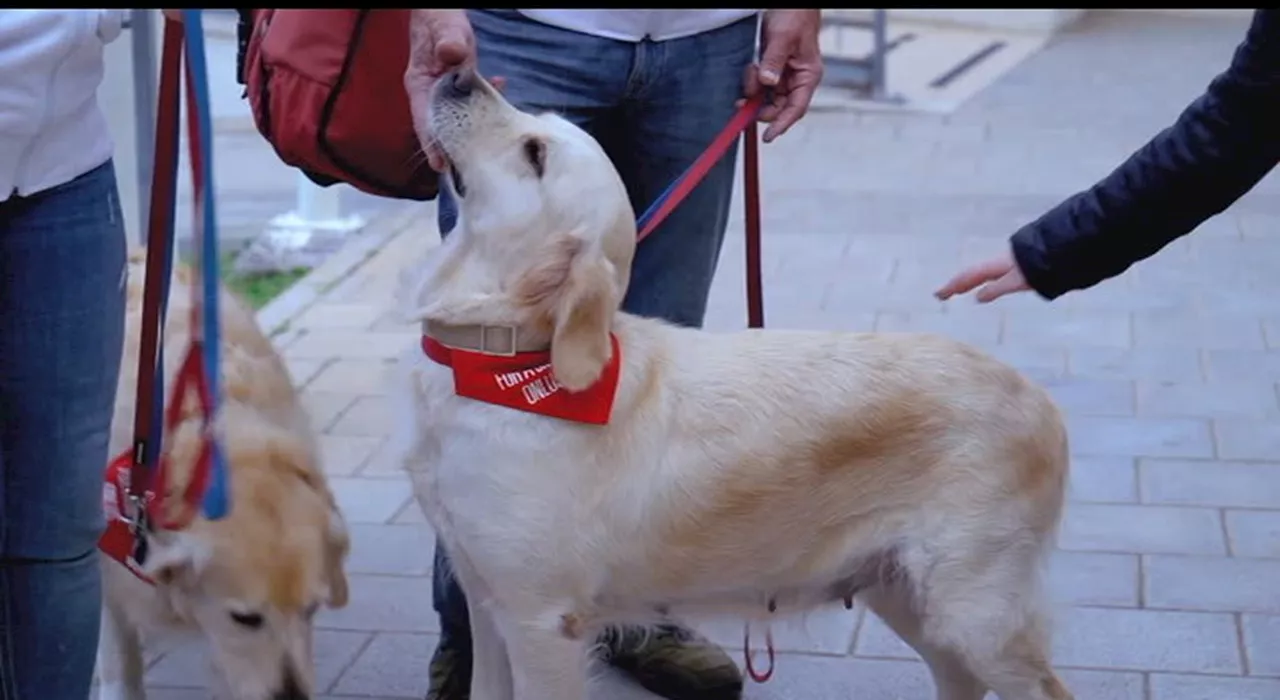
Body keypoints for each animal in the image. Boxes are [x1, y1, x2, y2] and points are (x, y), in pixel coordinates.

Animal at [394, 65, 1075, 700]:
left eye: (534, 153)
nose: (458, 73)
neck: (510, 362)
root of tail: (1041, 400)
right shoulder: (485, 599)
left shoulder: (543, 621)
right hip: (909, 594)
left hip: (974, 610)